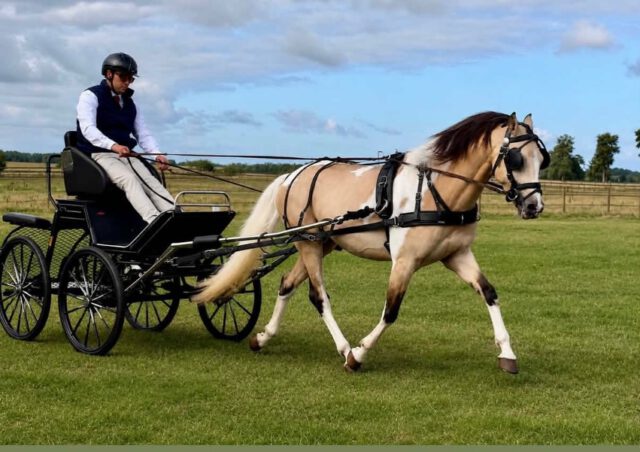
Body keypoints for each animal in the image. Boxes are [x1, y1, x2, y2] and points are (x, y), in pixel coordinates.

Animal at [192, 111, 549, 373]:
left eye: (541, 159)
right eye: (516, 159)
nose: (534, 206)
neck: (434, 190)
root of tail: (291, 176)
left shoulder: (457, 255)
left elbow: (489, 293)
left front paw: (507, 353)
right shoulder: (404, 262)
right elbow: (390, 311)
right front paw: (359, 354)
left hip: (319, 242)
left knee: (287, 284)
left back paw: (263, 338)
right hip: (308, 244)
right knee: (319, 296)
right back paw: (342, 348)